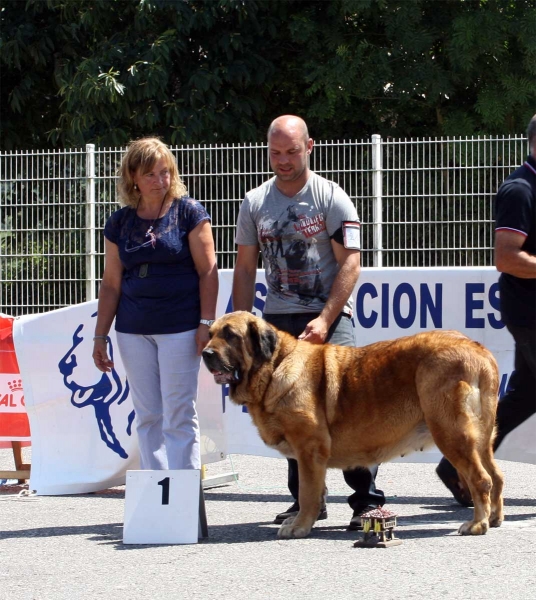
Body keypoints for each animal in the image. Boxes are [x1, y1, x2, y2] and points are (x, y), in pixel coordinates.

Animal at [202, 312, 502, 536]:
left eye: (230, 335)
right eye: (210, 334)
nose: (205, 353)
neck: (275, 366)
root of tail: (477, 348)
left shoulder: (309, 450)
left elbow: (307, 492)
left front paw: (299, 526)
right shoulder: (309, 457)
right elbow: (314, 491)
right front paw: (303, 520)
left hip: (451, 433)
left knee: (481, 479)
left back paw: (477, 524)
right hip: (480, 439)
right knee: (496, 476)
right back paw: (495, 518)